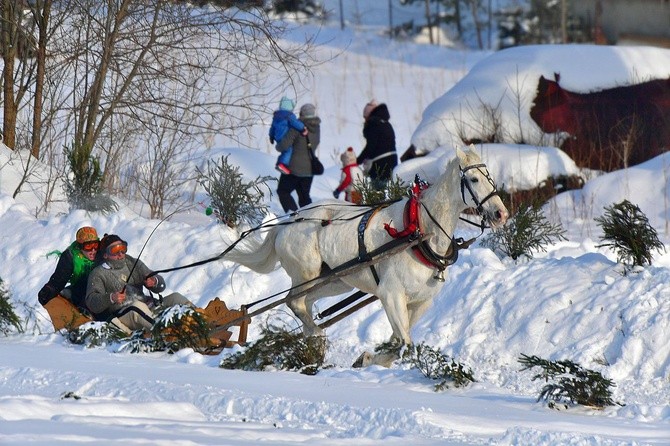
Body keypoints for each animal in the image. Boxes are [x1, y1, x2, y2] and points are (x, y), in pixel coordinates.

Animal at [227, 147, 510, 358]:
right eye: (473, 179)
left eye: (490, 176)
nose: (501, 213)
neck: (420, 232)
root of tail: (290, 220)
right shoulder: (390, 295)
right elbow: (404, 339)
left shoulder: (421, 301)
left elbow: (400, 338)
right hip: (305, 273)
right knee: (294, 302)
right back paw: (316, 334)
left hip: (334, 281)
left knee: (305, 304)